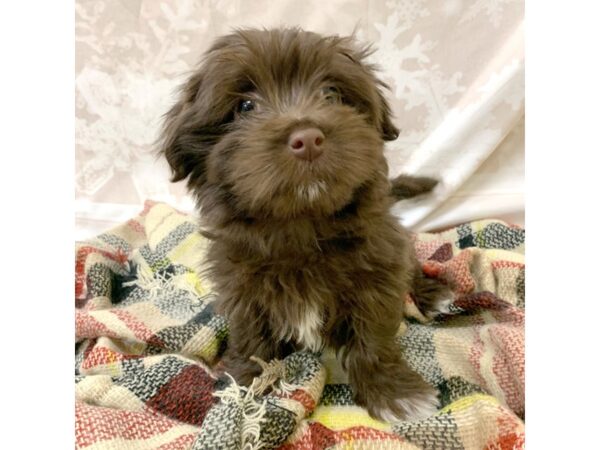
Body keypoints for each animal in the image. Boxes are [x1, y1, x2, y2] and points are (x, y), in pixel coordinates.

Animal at [162, 28, 452, 422]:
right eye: (245, 107)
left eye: (331, 94)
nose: (309, 138)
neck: (300, 225)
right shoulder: (241, 286)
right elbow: (250, 335)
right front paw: (245, 382)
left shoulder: (378, 270)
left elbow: (373, 335)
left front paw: (394, 392)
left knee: (412, 264)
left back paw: (432, 294)